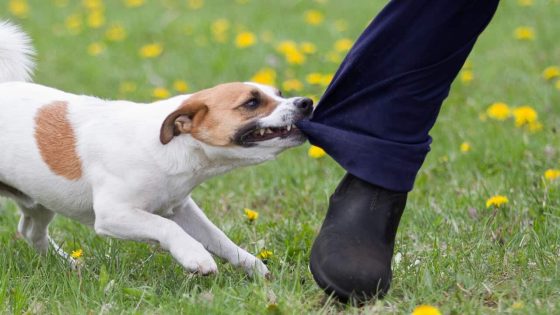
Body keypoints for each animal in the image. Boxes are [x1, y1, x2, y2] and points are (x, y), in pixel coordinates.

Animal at [0, 22, 312, 278]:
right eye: (251, 103)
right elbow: (166, 228)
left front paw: (253, 267)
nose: (306, 102)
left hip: (39, 201)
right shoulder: (115, 214)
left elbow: (219, 238)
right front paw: (196, 256)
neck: (172, 148)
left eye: (280, 94)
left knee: (30, 232)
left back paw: (66, 265)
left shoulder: (181, 209)